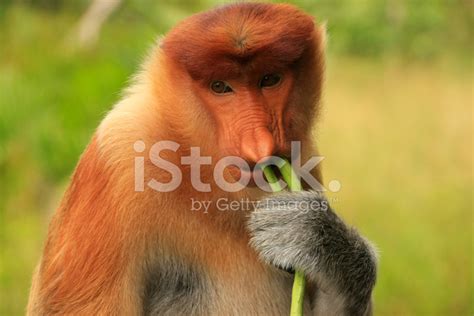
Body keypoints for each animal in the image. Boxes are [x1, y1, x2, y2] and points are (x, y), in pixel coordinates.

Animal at [28, 3, 378, 316]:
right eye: (220, 87)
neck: (193, 159)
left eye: (269, 79)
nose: (259, 146)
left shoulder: (307, 160)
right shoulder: (119, 156)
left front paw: (315, 235)